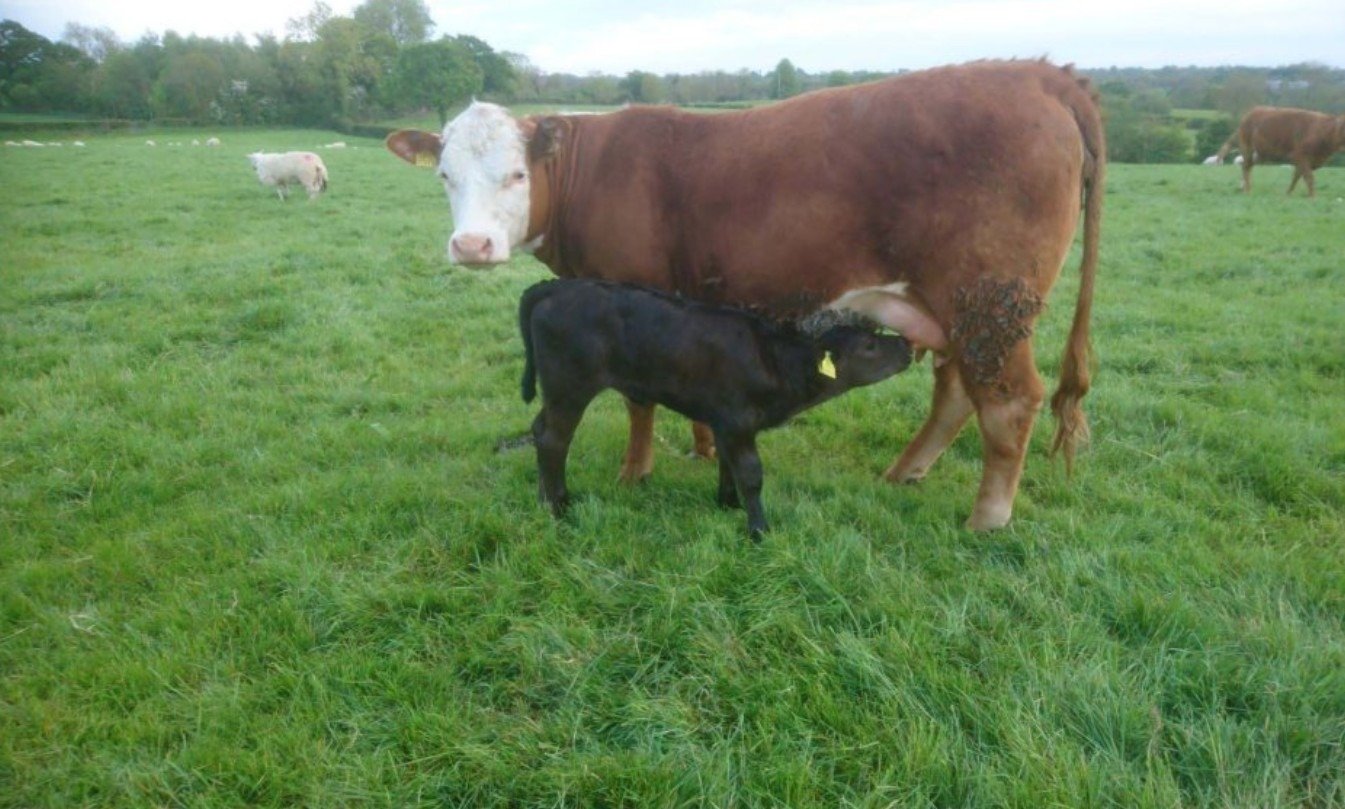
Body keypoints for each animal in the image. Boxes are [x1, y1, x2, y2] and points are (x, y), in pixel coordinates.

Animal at [520, 278, 914, 539]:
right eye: (869, 346)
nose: (908, 345)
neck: (775, 361)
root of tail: (553, 287)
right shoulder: (738, 421)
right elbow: (751, 474)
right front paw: (759, 530)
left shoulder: (725, 422)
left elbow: (728, 465)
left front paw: (727, 503)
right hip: (570, 386)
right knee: (555, 440)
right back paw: (559, 505)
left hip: (556, 391)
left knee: (539, 430)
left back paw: (542, 499)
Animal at [1217, 106, 1345, 197]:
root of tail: (1252, 112)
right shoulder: (1300, 156)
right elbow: (1309, 178)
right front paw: (1312, 197)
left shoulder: (1303, 161)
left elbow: (1296, 177)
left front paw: (1288, 194)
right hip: (1247, 147)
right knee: (1246, 167)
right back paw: (1247, 190)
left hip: (1259, 153)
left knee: (1248, 166)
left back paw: (1244, 188)